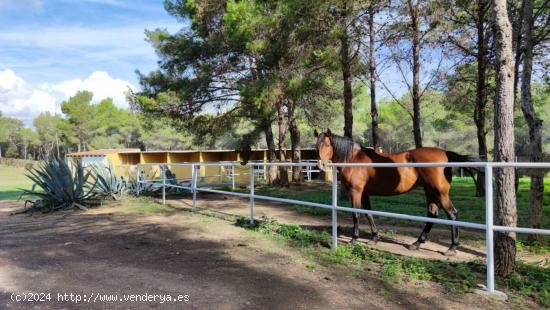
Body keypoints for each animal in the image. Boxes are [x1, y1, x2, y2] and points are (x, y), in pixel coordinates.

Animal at [316, 129, 480, 256]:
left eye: (327, 144)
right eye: (316, 145)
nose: (321, 165)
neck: (354, 159)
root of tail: (445, 153)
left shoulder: (356, 192)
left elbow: (356, 214)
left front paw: (353, 239)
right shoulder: (365, 194)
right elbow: (369, 214)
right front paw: (374, 238)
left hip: (440, 193)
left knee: (452, 214)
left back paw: (452, 247)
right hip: (430, 192)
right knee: (432, 214)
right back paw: (417, 243)